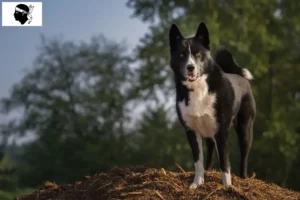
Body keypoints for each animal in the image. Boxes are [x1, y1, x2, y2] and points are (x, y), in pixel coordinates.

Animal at [169, 22, 255, 189]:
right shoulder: (191, 131)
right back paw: (208, 172)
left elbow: (225, 163)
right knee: (209, 154)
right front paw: (197, 184)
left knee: (244, 157)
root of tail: (240, 77)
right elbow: (198, 161)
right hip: (208, 132)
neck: (198, 88)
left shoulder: (221, 131)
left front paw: (227, 187)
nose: (190, 67)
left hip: (245, 130)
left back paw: (243, 179)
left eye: (197, 53)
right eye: (182, 55)